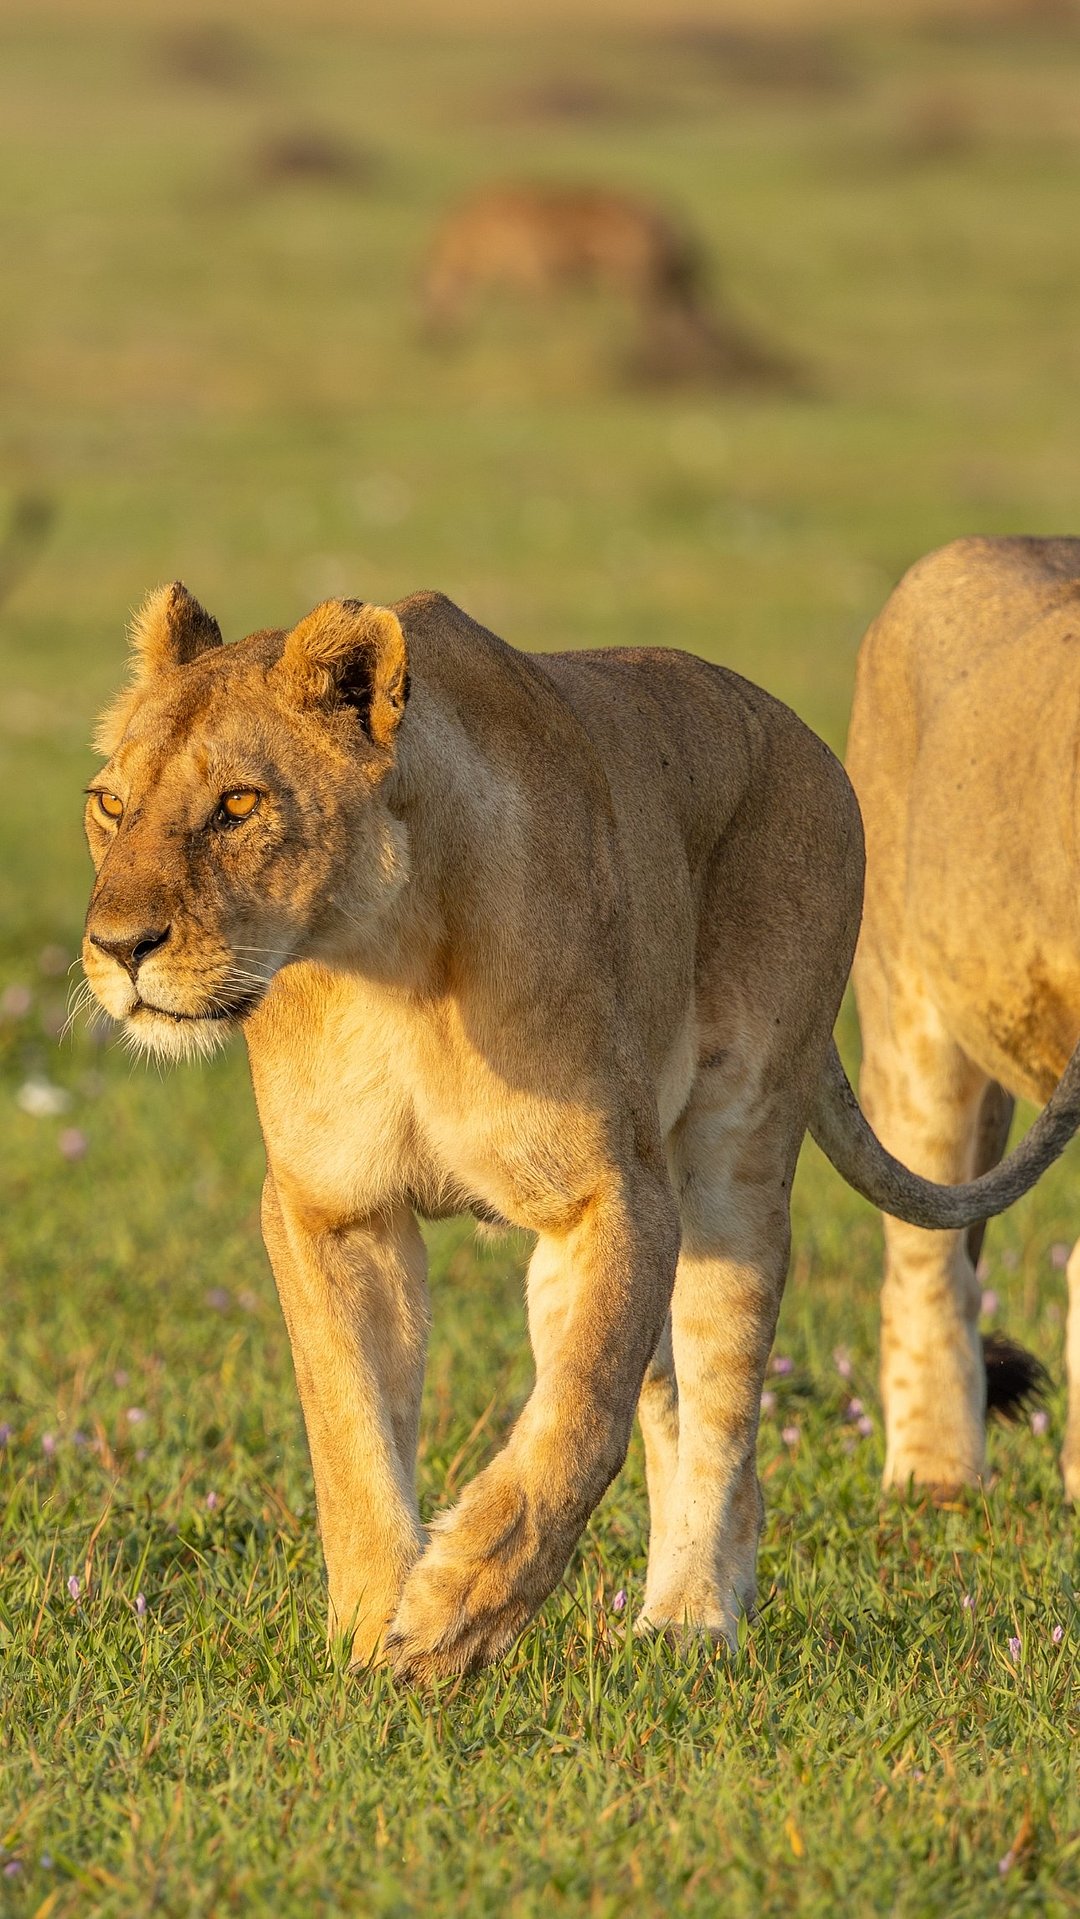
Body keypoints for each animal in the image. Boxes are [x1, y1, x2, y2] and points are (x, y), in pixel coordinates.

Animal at [81, 583, 1080, 1680]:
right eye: (110, 804)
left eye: (238, 805)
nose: (117, 947)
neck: (382, 963)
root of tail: (799, 733)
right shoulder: (328, 1208)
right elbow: (349, 1424)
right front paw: (374, 1627)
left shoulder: (613, 1190)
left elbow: (577, 1418)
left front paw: (455, 1613)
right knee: (671, 1404)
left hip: (736, 1154)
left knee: (722, 1403)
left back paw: (690, 1616)